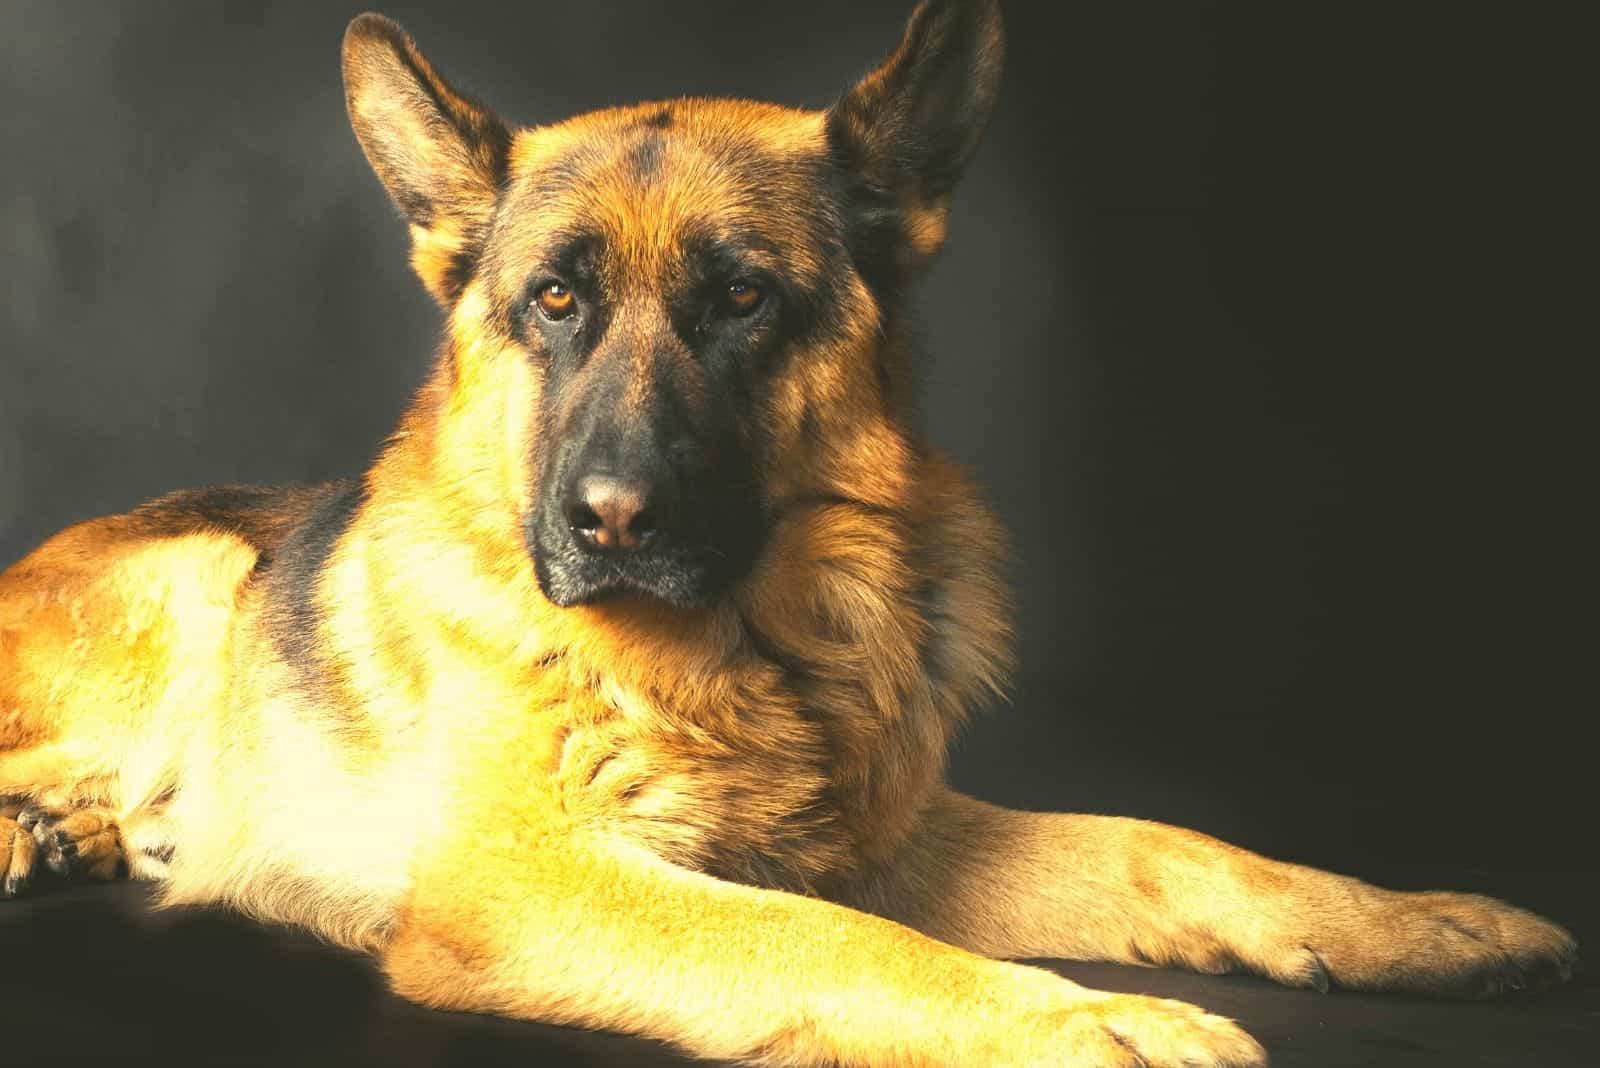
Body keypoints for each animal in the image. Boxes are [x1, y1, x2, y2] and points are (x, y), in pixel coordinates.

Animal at [0, 4, 1574, 1061]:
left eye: (742, 298)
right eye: (554, 303)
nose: (610, 522)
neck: (750, 655)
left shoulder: (888, 833)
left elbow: (1159, 845)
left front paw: (1415, 925)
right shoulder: (528, 884)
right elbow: (831, 937)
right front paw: (1082, 1022)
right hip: (207, 570)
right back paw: (49, 829)